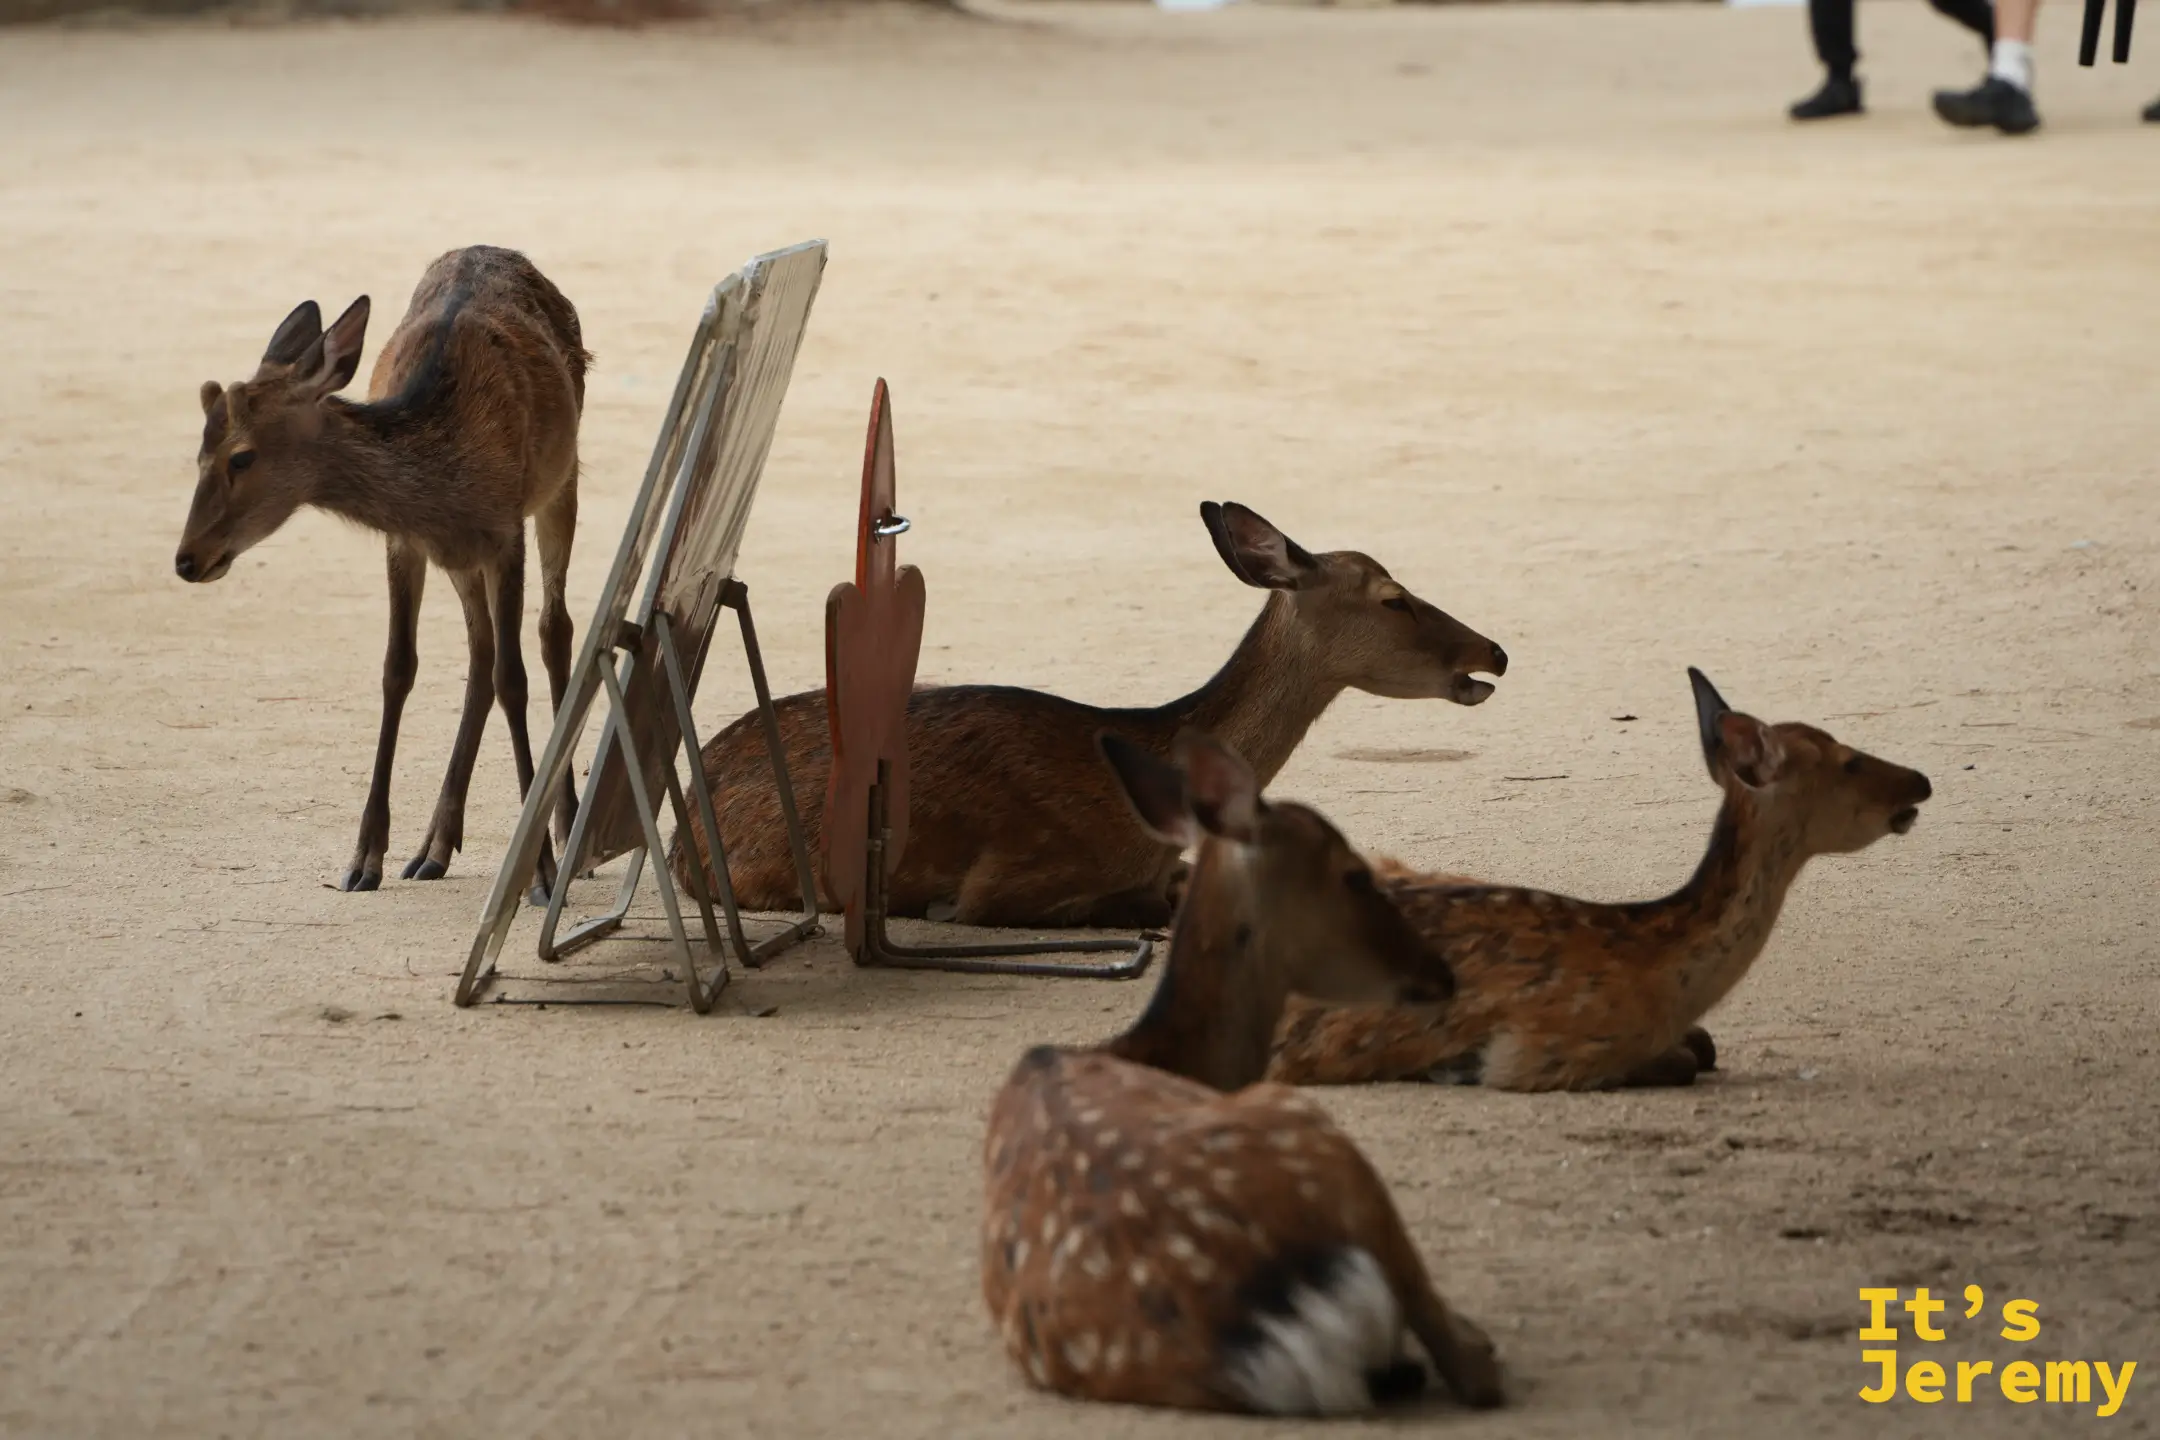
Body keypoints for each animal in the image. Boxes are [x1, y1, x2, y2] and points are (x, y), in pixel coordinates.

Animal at [174, 246, 587, 901]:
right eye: (197, 455)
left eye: (241, 456)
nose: (187, 559)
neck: (450, 475)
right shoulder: (407, 540)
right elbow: (398, 668)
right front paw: (364, 858)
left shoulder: (505, 531)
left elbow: (514, 679)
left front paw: (541, 874)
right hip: (461, 558)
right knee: (480, 651)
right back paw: (434, 848)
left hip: (562, 477)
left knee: (553, 629)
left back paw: (568, 827)